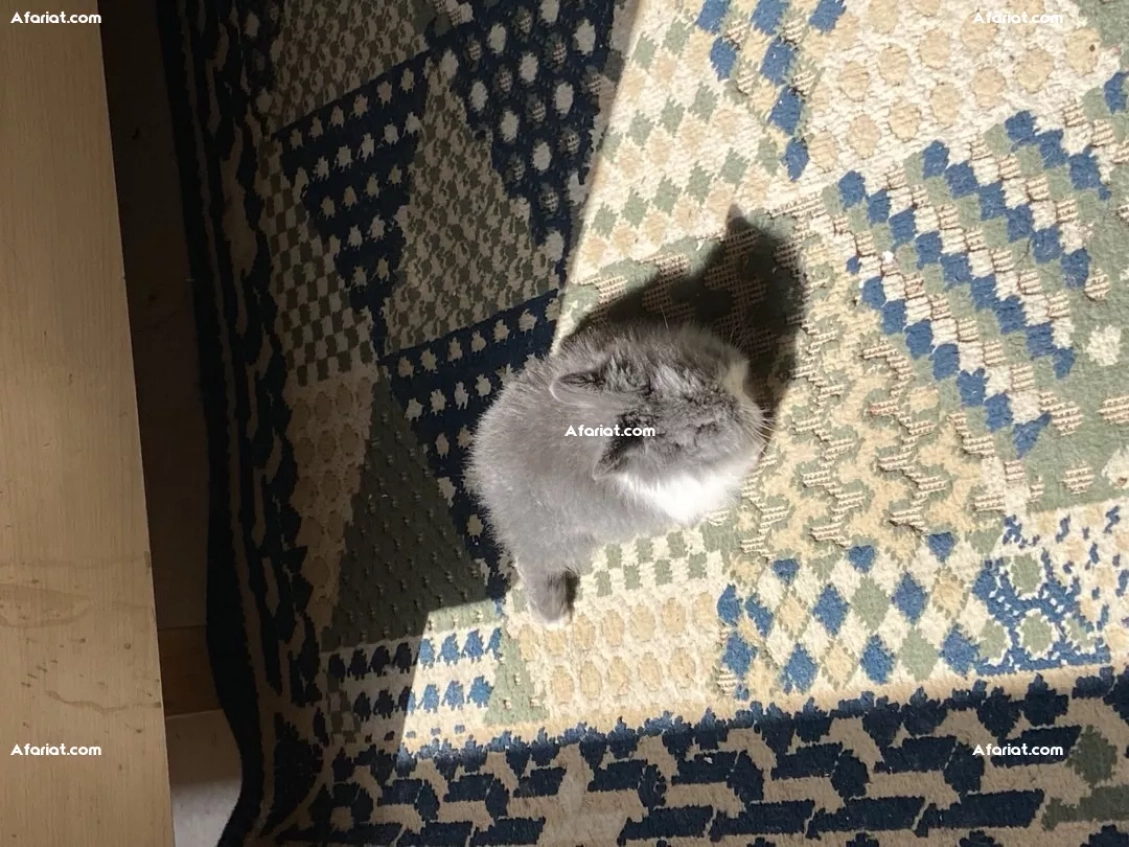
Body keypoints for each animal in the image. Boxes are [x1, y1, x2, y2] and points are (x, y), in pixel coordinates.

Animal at [464, 320, 767, 627]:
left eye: (689, 373)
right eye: (701, 428)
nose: (730, 401)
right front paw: (758, 444)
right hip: (553, 542)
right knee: (536, 567)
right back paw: (556, 619)